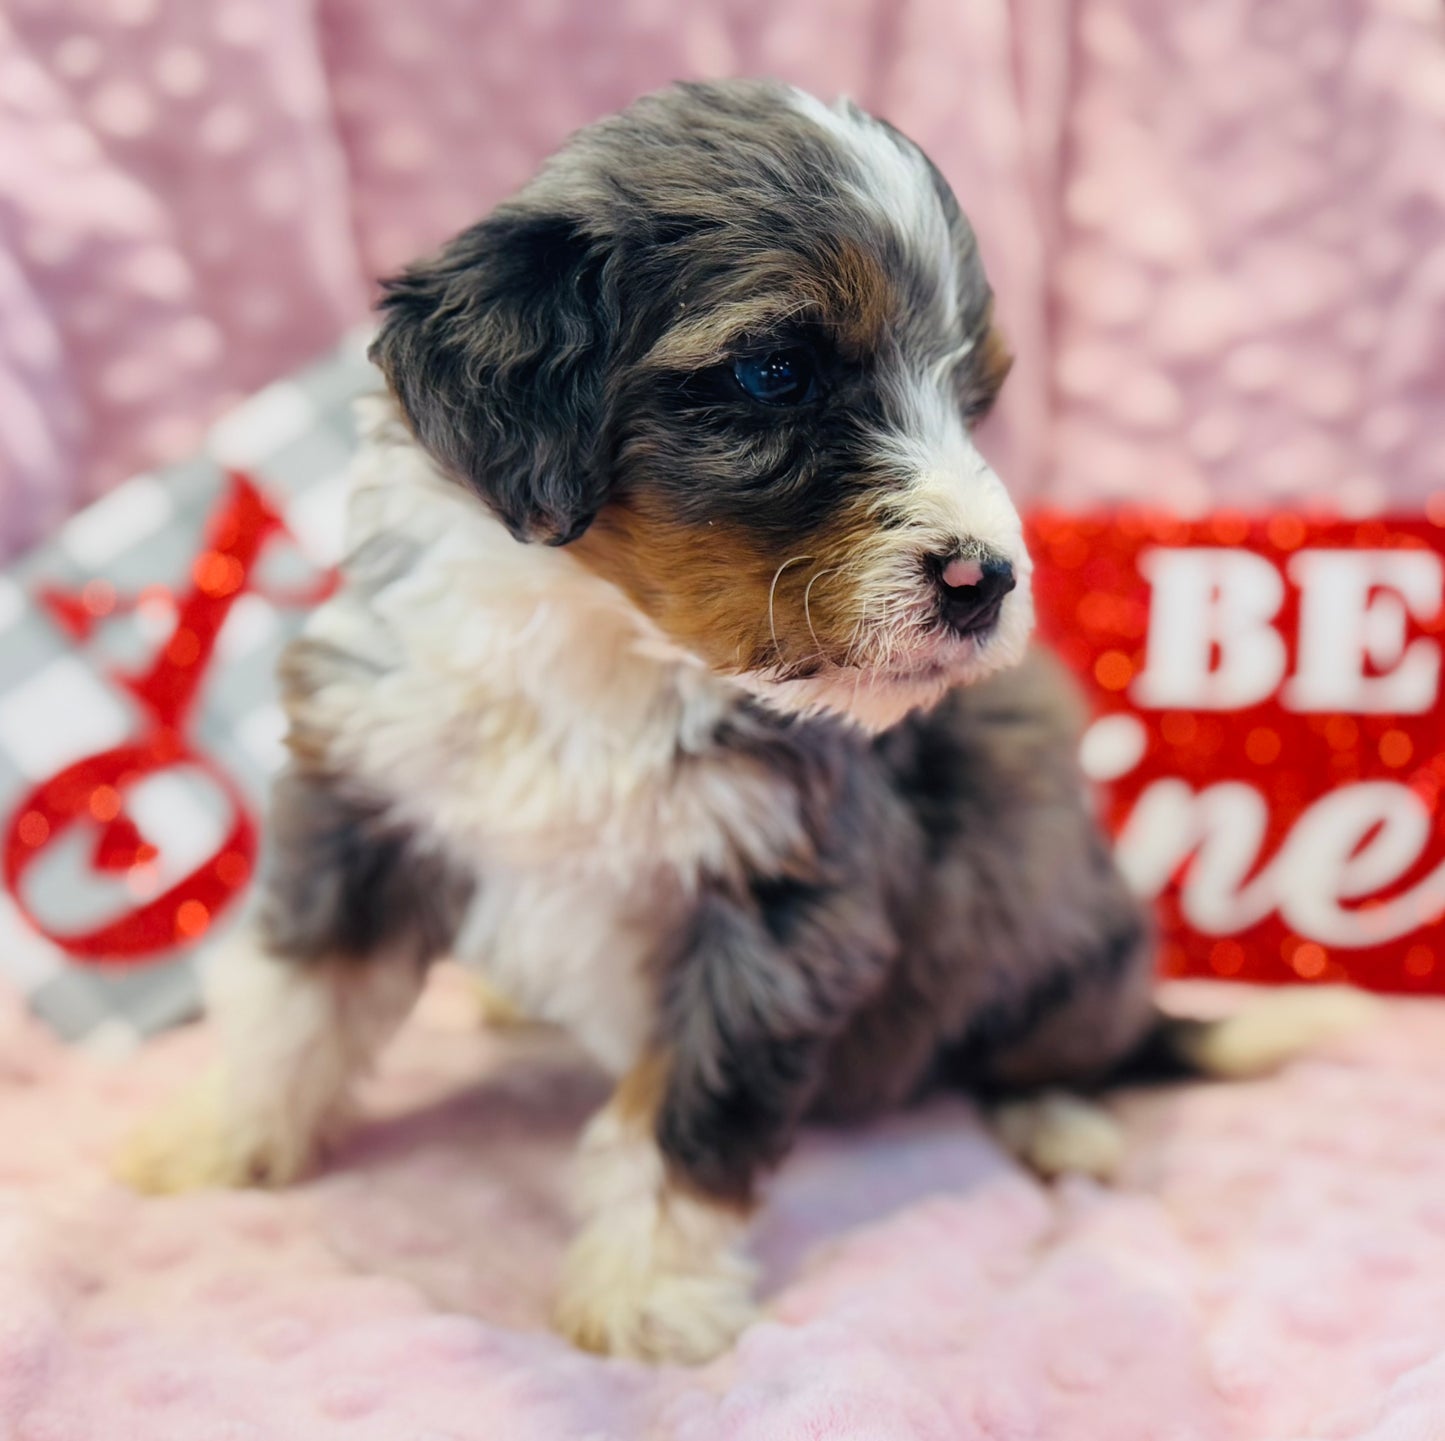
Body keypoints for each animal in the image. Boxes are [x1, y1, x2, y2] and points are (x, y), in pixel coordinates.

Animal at [118, 78, 1369, 1358]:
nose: (986, 579)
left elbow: (686, 1111)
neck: (606, 644)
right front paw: (212, 1137)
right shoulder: (371, 783)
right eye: (774, 371)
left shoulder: (782, 904)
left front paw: (645, 1293)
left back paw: (1060, 1118)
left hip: (1059, 926)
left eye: (970, 399)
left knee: (1080, 1041)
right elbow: (296, 994)